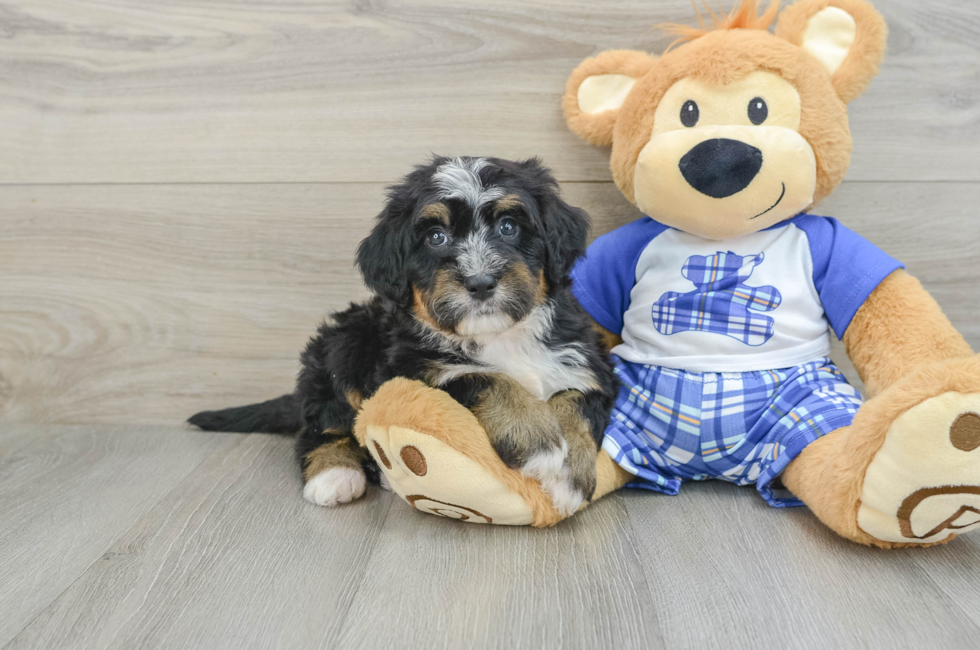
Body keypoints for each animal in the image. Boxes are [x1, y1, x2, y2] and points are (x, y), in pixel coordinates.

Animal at [190, 156, 616, 512]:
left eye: (509, 227)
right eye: (435, 237)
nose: (480, 283)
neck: (501, 336)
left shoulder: (589, 365)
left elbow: (575, 402)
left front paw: (569, 476)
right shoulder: (413, 369)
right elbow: (485, 377)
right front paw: (539, 441)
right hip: (343, 345)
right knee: (321, 424)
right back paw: (334, 474)